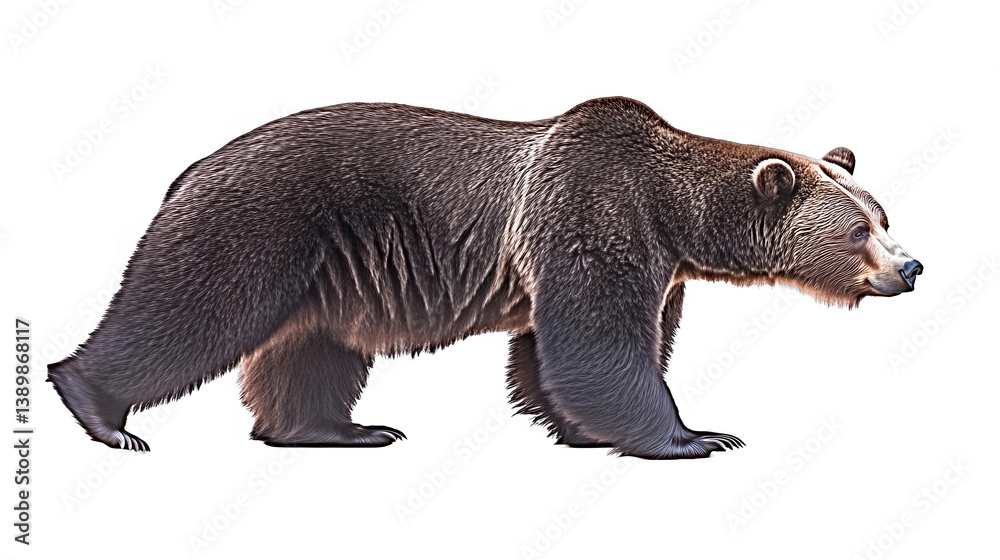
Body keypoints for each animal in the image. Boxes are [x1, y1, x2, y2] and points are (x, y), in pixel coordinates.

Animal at [47, 97, 922, 459]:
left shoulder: (644, 264)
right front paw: (695, 435)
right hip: (260, 225)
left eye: (884, 214)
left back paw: (342, 430)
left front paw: (580, 428)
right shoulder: (592, 209)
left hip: (327, 274)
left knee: (312, 351)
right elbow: (599, 344)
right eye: (857, 231)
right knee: (186, 312)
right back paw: (100, 409)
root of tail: (191, 165)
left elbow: (553, 354)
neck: (673, 214)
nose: (910, 266)